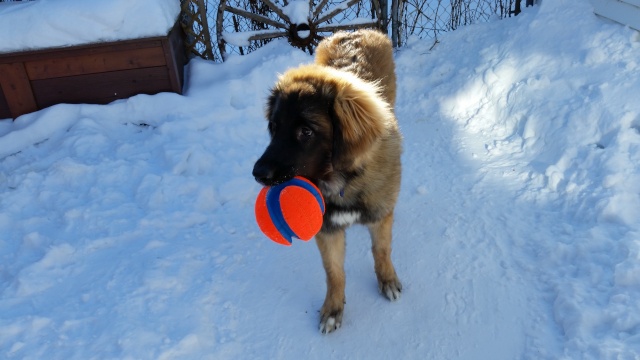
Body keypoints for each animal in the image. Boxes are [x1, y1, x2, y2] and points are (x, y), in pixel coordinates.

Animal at [252, 29, 402, 334]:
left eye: (306, 131)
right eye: (274, 127)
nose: (258, 174)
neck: (342, 180)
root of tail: (356, 30)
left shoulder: (380, 215)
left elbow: (381, 251)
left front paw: (387, 280)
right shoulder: (327, 229)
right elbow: (334, 272)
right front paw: (333, 309)